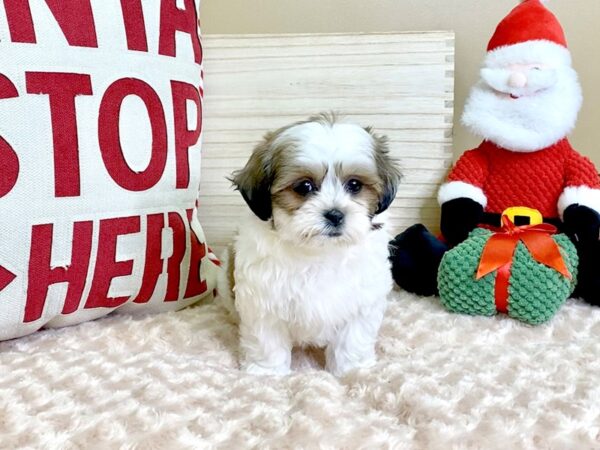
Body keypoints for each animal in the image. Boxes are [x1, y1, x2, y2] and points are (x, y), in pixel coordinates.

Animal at [218, 113, 400, 376]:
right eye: (304, 186)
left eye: (355, 185)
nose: (335, 214)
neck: (318, 252)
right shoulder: (264, 303)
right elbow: (267, 341)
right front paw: (267, 373)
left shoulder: (361, 302)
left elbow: (352, 338)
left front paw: (352, 370)